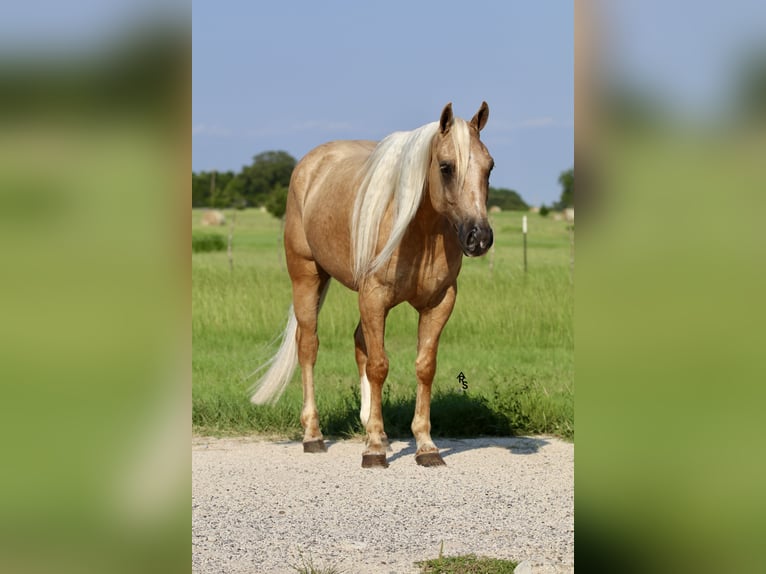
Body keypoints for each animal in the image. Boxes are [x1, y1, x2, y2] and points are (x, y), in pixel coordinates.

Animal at [250, 102, 494, 468]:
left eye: (489, 167)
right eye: (446, 167)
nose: (479, 238)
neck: (418, 230)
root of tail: (311, 164)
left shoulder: (439, 302)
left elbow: (424, 367)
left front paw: (424, 446)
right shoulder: (374, 297)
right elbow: (379, 366)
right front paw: (374, 450)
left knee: (358, 342)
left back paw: (371, 427)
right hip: (307, 277)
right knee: (308, 347)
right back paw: (313, 435)